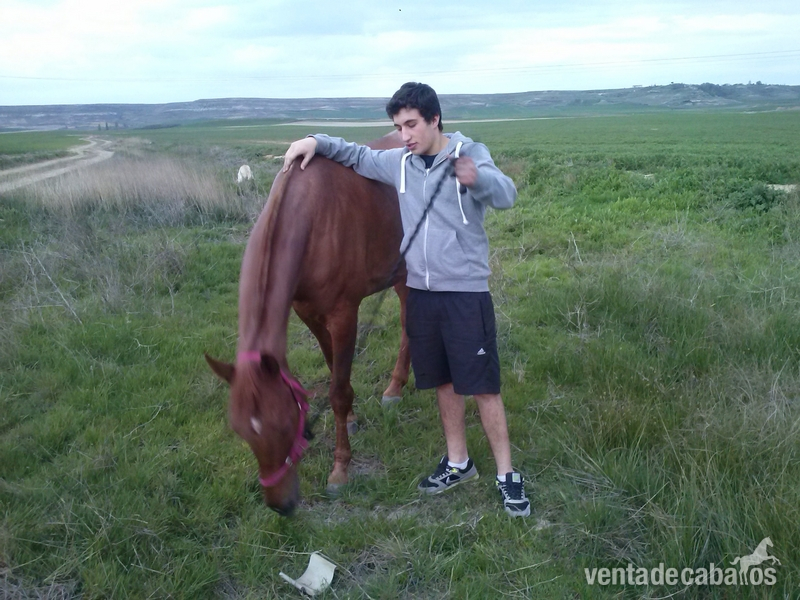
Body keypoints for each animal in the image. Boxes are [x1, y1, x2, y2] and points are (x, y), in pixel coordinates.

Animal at [206, 131, 409, 515]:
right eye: (240, 430)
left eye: (287, 424)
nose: (281, 506)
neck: (313, 219)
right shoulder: (308, 313)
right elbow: (333, 369)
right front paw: (353, 420)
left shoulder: (344, 315)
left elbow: (338, 392)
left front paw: (340, 469)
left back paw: (394, 388)